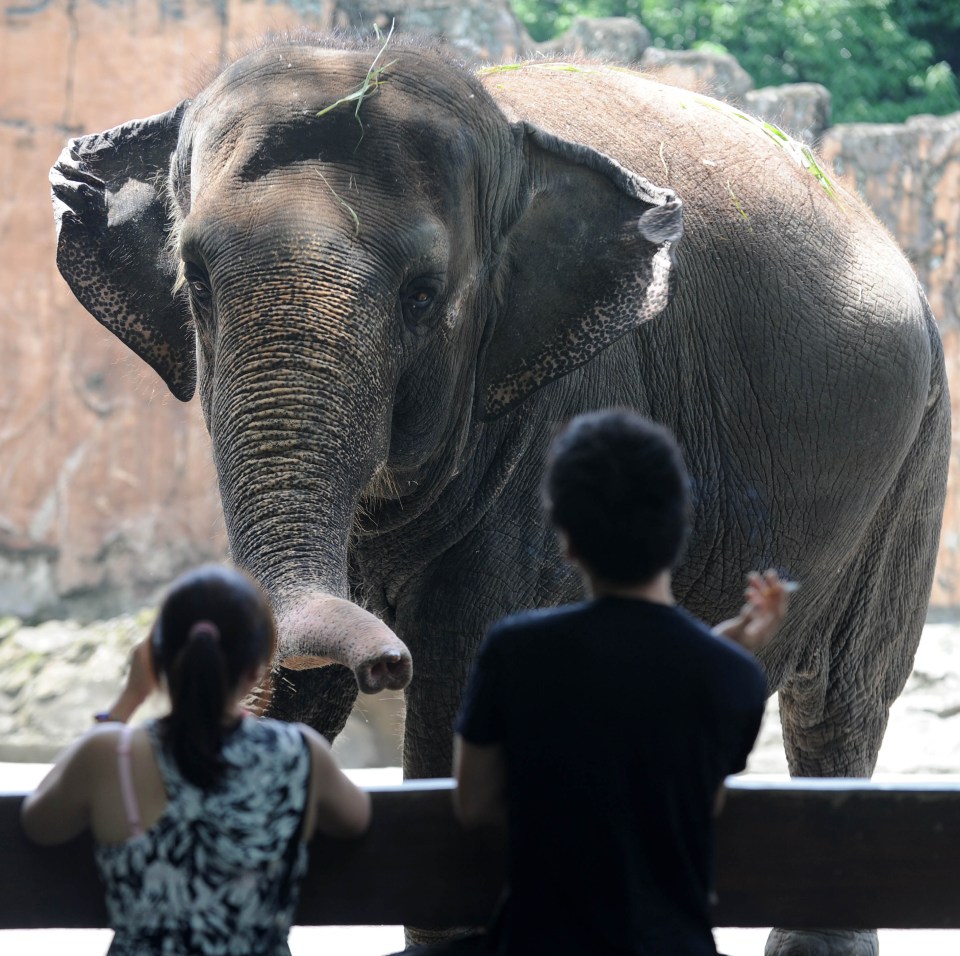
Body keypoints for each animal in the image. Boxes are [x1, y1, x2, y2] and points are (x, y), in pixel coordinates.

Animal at [54, 33, 952, 952]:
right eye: (194, 280)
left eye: (423, 296)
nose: (386, 659)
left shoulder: (572, 399)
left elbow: (465, 655)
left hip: (915, 451)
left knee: (841, 699)